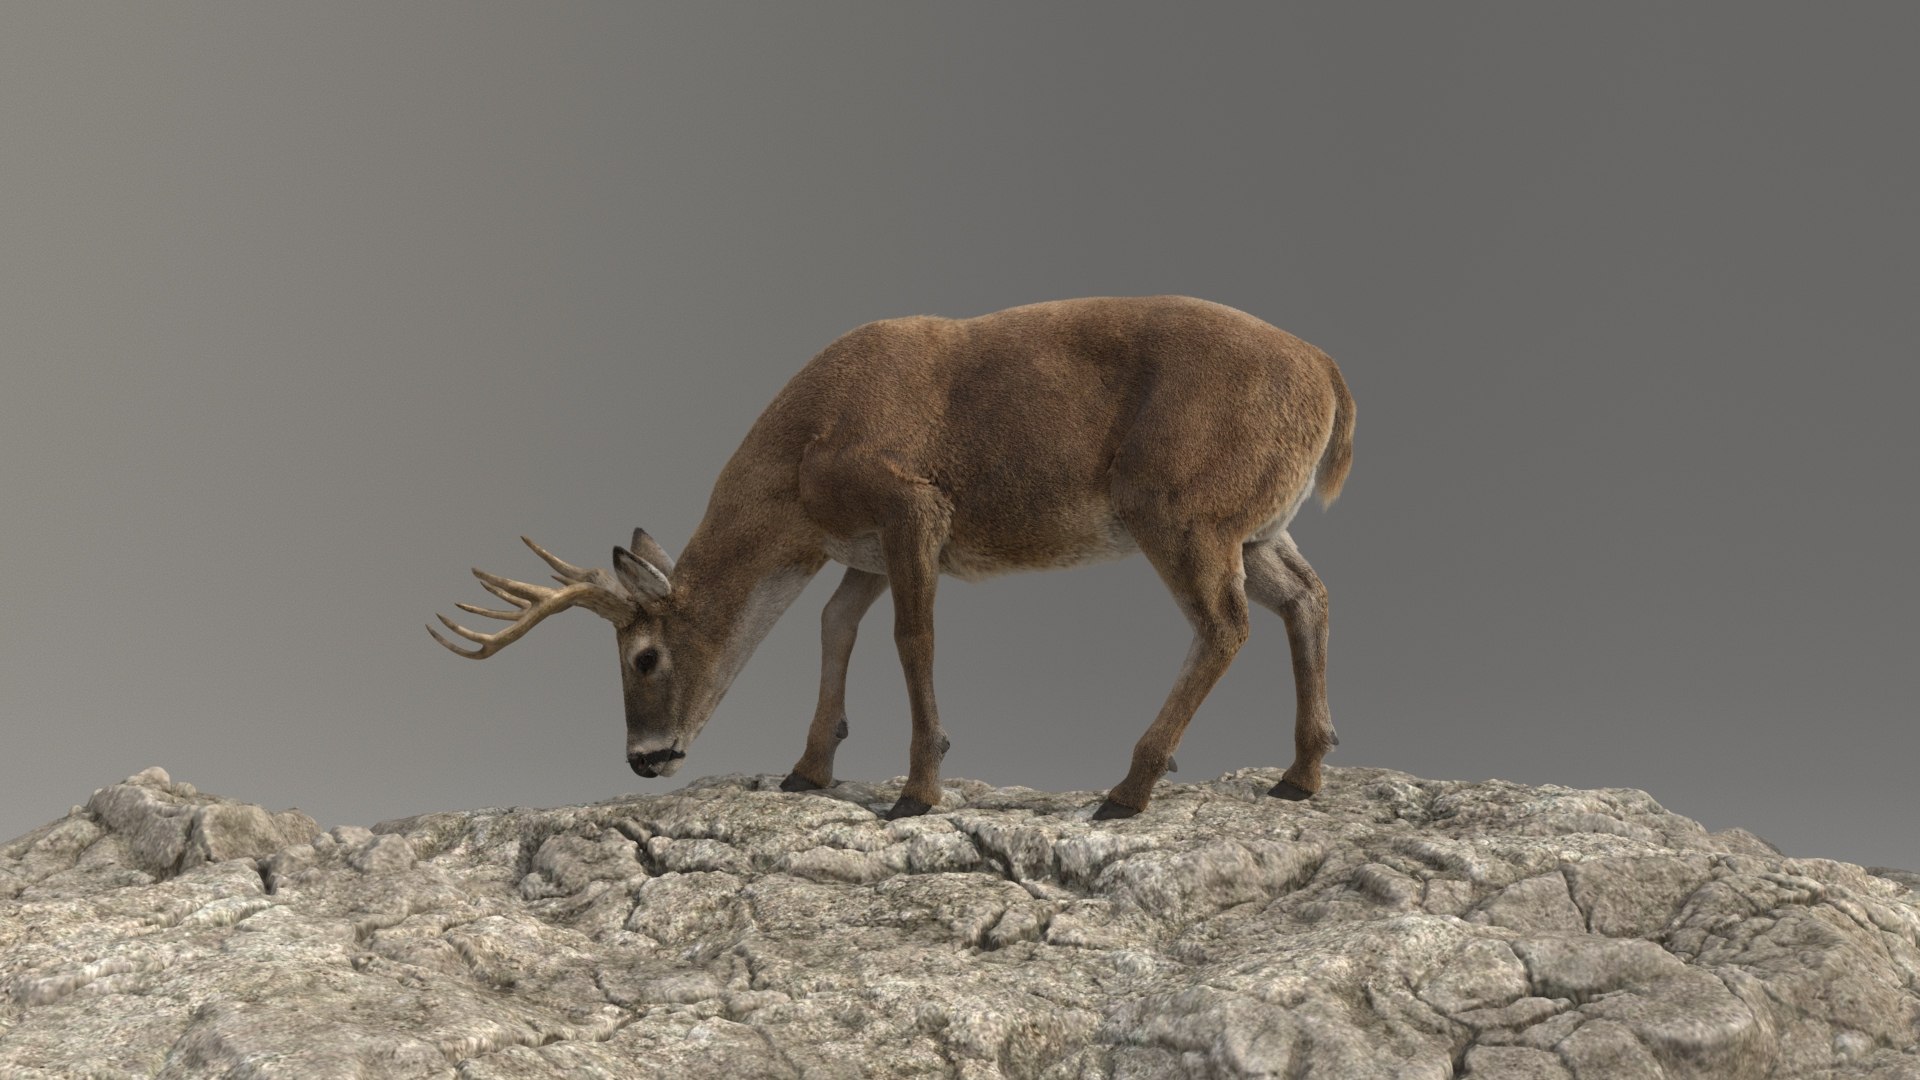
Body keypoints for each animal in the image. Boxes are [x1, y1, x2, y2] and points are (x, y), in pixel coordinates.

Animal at [430, 295, 1354, 820]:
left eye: (645, 656)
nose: (644, 758)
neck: (800, 470)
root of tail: (1331, 373)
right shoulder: (861, 549)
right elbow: (835, 623)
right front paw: (808, 770)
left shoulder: (912, 504)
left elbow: (914, 637)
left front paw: (916, 792)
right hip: (1255, 520)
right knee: (1306, 595)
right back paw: (1300, 775)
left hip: (1182, 505)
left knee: (1225, 623)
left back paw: (1127, 792)